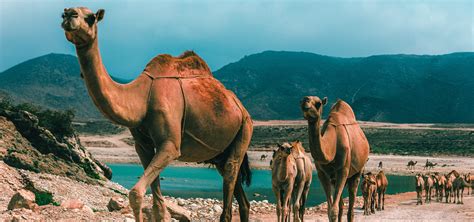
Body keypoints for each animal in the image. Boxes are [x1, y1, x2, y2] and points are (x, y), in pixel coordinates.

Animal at [63, 7, 256, 222]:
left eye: (91, 17)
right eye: (65, 13)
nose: (69, 14)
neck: (142, 98)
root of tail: (240, 107)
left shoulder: (170, 145)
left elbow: (136, 193)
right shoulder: (142, 145)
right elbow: (157, 204)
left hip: (245, 128)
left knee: (230, 179)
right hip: (221, 152)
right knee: (242, 198)